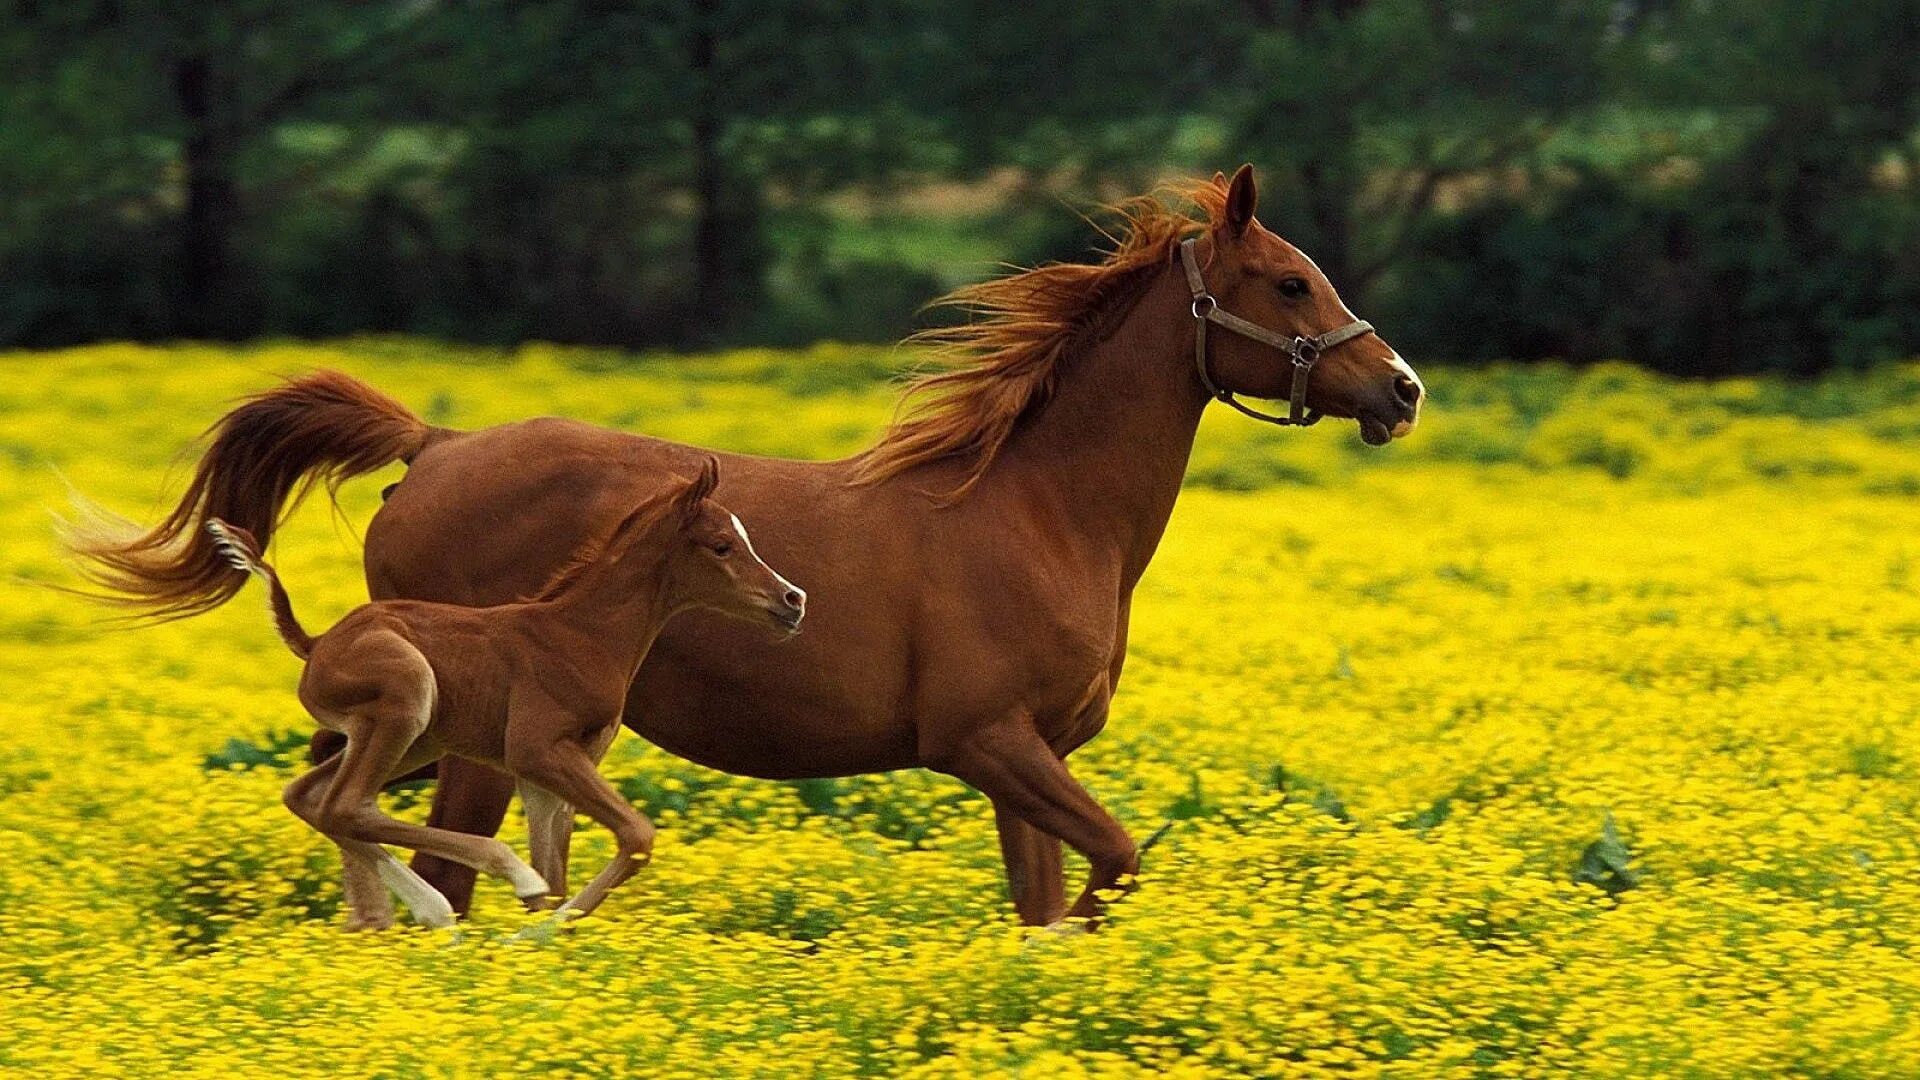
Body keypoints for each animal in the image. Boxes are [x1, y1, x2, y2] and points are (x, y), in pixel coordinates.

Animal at [196, 455, 794, 926]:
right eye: (722, 546)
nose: (793, 600)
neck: (582, 634)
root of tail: (317, 642)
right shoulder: (535, 750)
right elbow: (635, 838)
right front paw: (530, 929)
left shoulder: (552, 770)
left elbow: (560, 872)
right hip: (407, 698)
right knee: (345, 805)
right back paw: (485, 883)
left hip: (417, 739)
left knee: (312, 798)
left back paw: (434, 910)